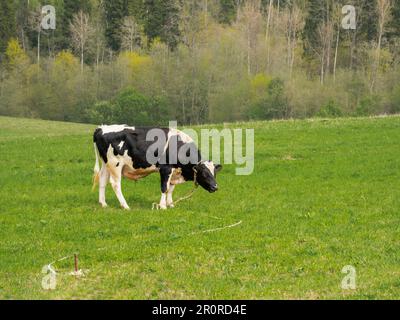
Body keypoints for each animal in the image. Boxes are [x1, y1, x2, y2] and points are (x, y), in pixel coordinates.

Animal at [92, 124, 222, 209]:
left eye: (214, 173)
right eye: (204, 173)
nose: (215, 187)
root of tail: (101, 128)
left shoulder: (175, 172)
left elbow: (171, 188)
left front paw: (170, 204)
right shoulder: (165, 169)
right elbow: (164, 188)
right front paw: (163, 206)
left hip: (106, 164)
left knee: (102, 180)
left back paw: (103, 203)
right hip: (115, 164)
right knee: (115, 184)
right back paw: (125, 205)